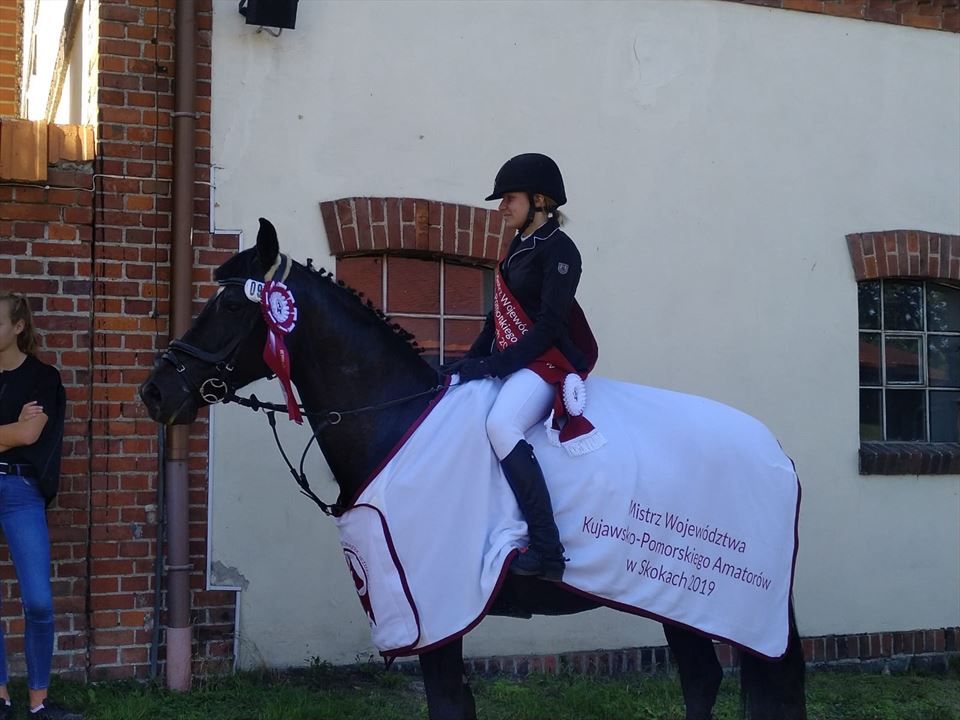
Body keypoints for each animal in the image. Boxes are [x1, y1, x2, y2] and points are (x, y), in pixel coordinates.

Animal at [140, 218, 807, 720]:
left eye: (231, 304)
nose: (155, 392)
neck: (393, 417)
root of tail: (775, 449)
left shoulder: (436, 606)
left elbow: (449, 705)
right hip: (679, 600)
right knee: (701, 680)